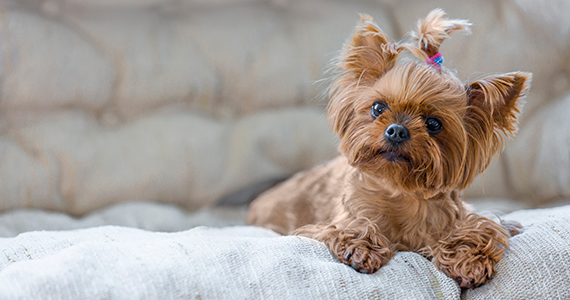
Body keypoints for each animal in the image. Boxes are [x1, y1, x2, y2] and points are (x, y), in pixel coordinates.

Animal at [246, 9, 532, 290]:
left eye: (433, 124)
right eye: (378, 108)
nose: (396, 130)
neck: (401, 193)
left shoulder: (464, 216)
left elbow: (482, 229)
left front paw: (468, 260)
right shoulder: (333, 221)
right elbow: (351, 227)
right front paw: (361, 248)